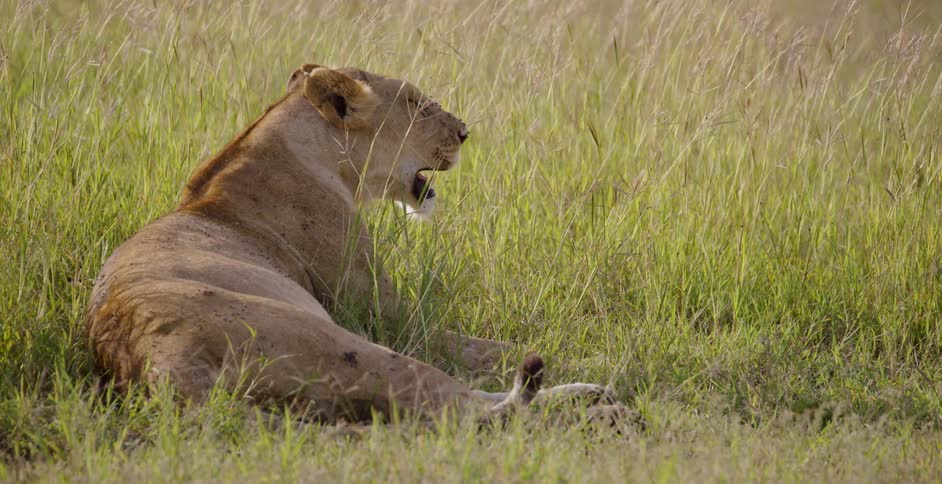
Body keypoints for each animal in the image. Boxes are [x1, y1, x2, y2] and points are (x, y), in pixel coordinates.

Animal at [85, 64, 620, 423]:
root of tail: (157, 364)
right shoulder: (390, 316)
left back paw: (590, 392)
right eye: (419, 105)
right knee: (469, 408)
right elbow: (487, 347)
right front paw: (582, 352)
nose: (466, 133)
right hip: (342, 343)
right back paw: (597, 399)